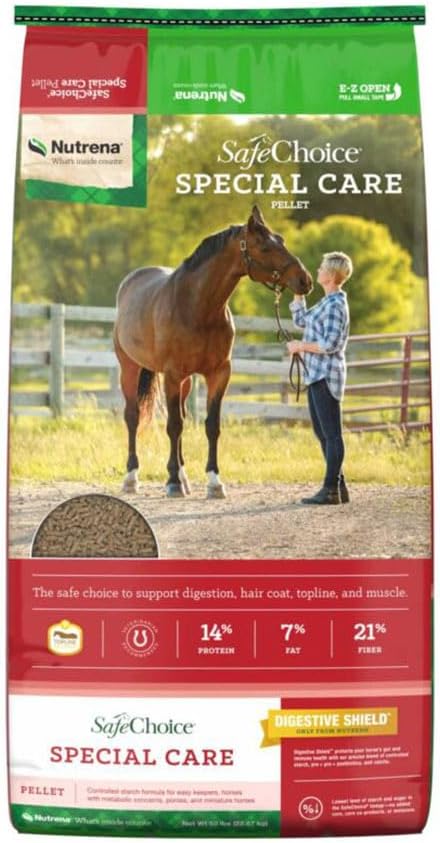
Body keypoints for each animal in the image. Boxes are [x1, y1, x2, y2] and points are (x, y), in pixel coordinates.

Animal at [114, 205, 313, 498]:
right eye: (265, 247)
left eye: (282, 240)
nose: (305, 280)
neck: (197, 307)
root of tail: (130, 281)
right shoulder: (172, 374)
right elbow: (173, 426)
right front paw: (172, 482)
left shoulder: (219, 373)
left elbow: (210, 425)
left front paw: (214, 481)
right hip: (131, 368)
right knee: (133, 416)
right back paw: (132, 477)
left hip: (185, 381)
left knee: (181, 418)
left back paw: (183, 477)